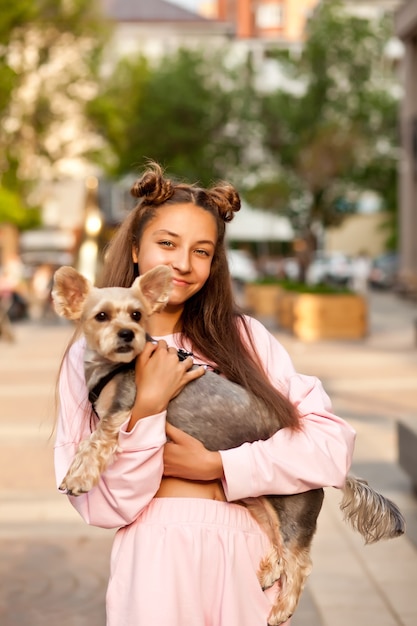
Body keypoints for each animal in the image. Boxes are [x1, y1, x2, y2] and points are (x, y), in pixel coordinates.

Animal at [51, 264, 404, 624]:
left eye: (136, 315)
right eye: (102, 316)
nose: (127, 334)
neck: (114, 366)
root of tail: (336, 474)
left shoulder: (122, 410)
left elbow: (94, 441)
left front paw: (77, 477)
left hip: (294, 512)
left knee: (299, 561)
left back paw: (281, 609)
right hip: (259, 504)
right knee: (276, 541)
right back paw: (267, 573)